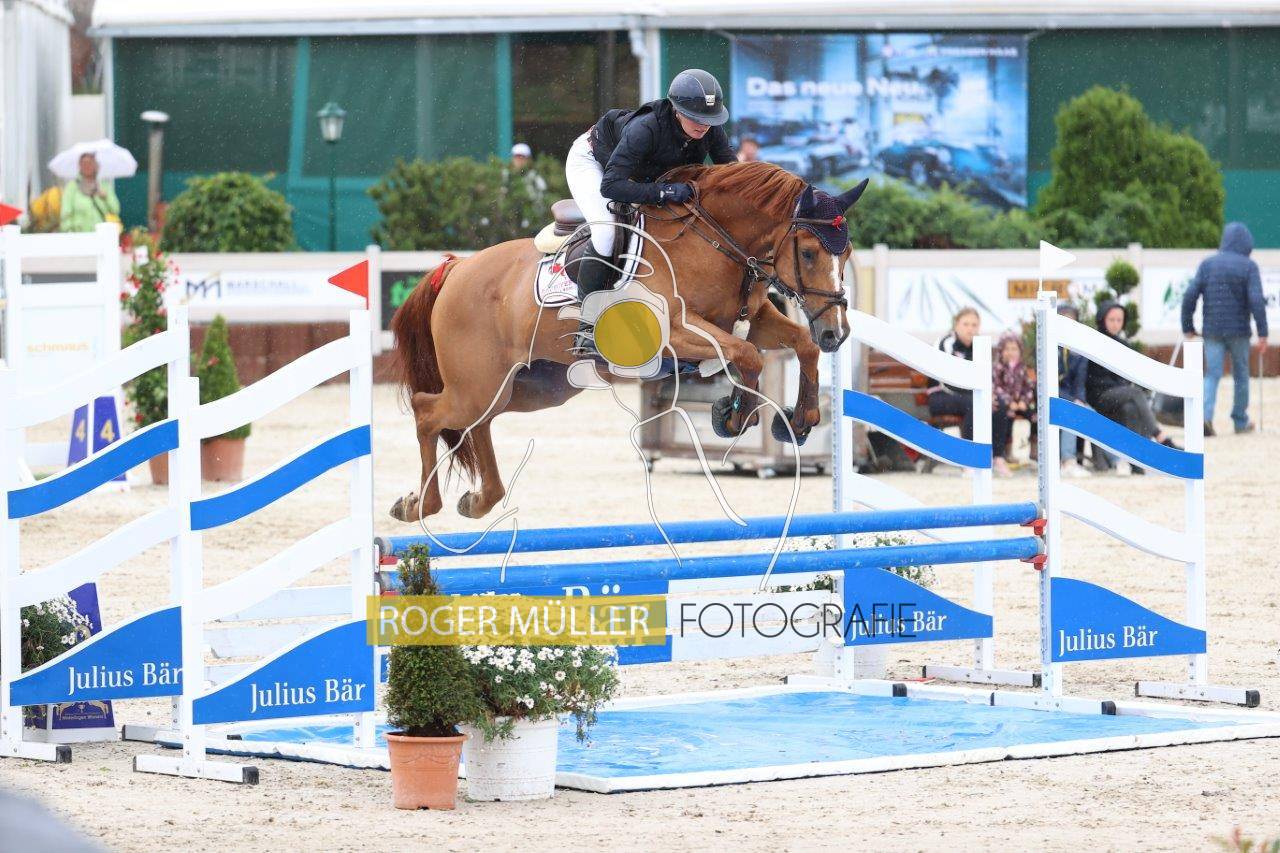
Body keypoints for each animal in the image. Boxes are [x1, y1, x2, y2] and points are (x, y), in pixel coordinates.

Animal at [388, 161, 867, 522]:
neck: (713, 243)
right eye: (808, 252)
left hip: (526, 388)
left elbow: (798, 345)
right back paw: (417, 505)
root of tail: (455, 269)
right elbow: (747, 355)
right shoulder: (675, 333)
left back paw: (477, 501)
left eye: (845, 254)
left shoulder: (756, 317)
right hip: (477, 385)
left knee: (478, 423)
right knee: (428, 411)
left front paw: (801, 420)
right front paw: (731, 416)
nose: (837, 332)